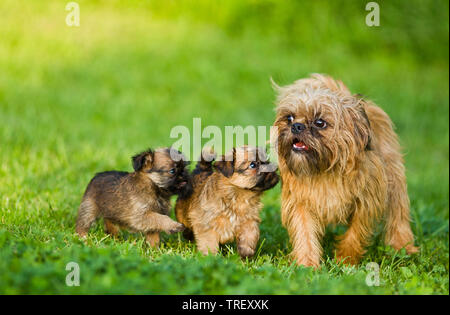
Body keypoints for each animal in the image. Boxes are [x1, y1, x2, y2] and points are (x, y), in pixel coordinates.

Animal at [272, 74, 420, 266]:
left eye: (320, 122)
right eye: (289, 118)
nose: (296, 126)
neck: (326, 170)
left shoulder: (366, 203)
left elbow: (355, 234)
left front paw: (346, 260)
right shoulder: (301, 203)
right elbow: (305, 234)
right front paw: (307, 264)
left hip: (394, 181)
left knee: (398, 215)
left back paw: (403, 247)